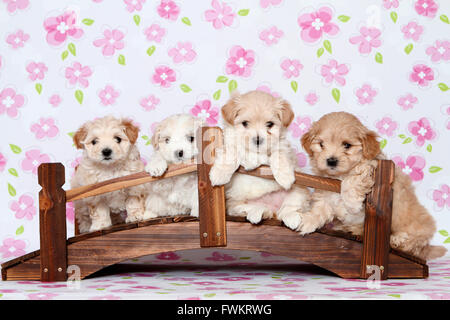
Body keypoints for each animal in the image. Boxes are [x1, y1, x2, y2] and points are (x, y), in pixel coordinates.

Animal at [210, 90, 310, 228]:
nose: (258, 140)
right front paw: (219, 174)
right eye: (245, 123)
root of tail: (273, 209)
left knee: (288, 208)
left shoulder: (283, 147)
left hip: (299, 191)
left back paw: (291, 218)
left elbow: (279, 156)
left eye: (269, 124)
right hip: (235, 203)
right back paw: (258, 212)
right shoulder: (230, 143)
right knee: (245, 208)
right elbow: (231, 153)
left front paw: (285, 177)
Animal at [298, 112, 446, 260]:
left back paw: (397, 239)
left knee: (413, 243)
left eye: (347, 145)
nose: (331, 161)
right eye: (321, 144)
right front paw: (308, 221)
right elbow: (320, 209)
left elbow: (355, 177)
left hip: (418, 226)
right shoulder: (326, 192)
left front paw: (352, 203)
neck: (338, 176)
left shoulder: (371, 167)